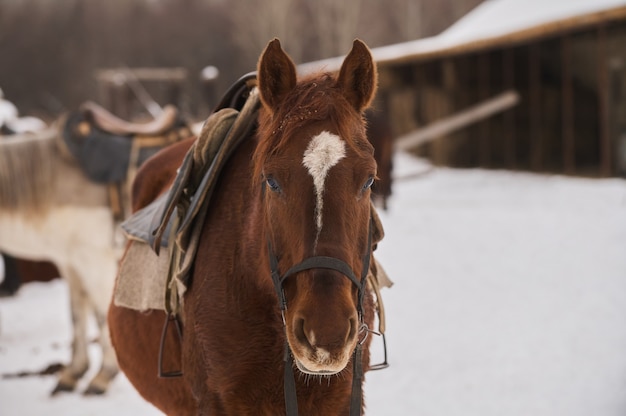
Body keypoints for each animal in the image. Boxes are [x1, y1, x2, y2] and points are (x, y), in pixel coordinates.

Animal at [0, 129, 119, 394]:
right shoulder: (70, 262)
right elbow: (77, 313)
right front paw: (74, 372)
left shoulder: (95, 258)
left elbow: (102, 311)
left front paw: (104, 374)